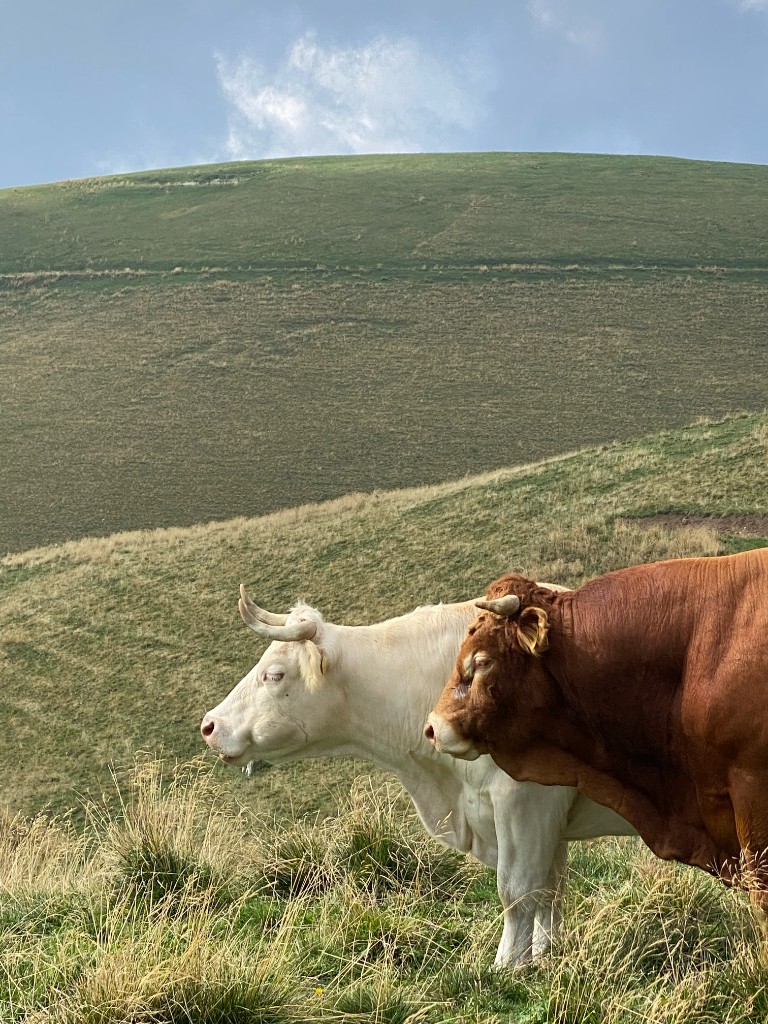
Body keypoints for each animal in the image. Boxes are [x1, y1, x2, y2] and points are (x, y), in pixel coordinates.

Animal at [201, 586, 636, 967]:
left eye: (274, 675)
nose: (209, 725)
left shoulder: (525, 801)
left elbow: (518, 890)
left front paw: (507, 965)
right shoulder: (545, 819)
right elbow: (550, 889)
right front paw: (544, 956)